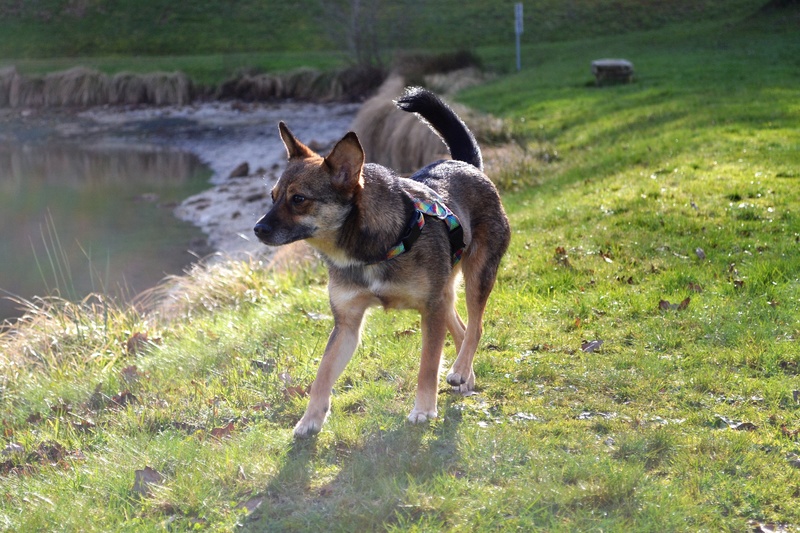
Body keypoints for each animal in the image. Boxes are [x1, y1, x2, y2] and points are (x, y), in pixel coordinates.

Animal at [253, 87, 510, 436]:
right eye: (272, 196)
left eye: (299, 199)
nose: (257, 229)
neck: (369, 248)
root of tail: (465, 164)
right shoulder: (347, 323)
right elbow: (322, 373)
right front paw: (310, 419)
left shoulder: (430, 310)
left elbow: (428, 364)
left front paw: (423, 409)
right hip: (445, 290)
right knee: (460, 326)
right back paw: (464, 374)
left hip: (478, 275)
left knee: (476, 326)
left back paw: (459, 369)